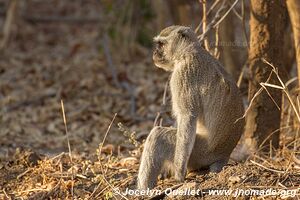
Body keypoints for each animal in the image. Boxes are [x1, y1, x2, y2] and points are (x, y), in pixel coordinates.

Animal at [137, 25, 245, 190]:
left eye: (161, 44)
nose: (155, 53)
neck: (187, 52)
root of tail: (224, 155)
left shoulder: (183, 75)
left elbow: (187, 117)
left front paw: (179, 172)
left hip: (199, 153)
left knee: (158, 135)